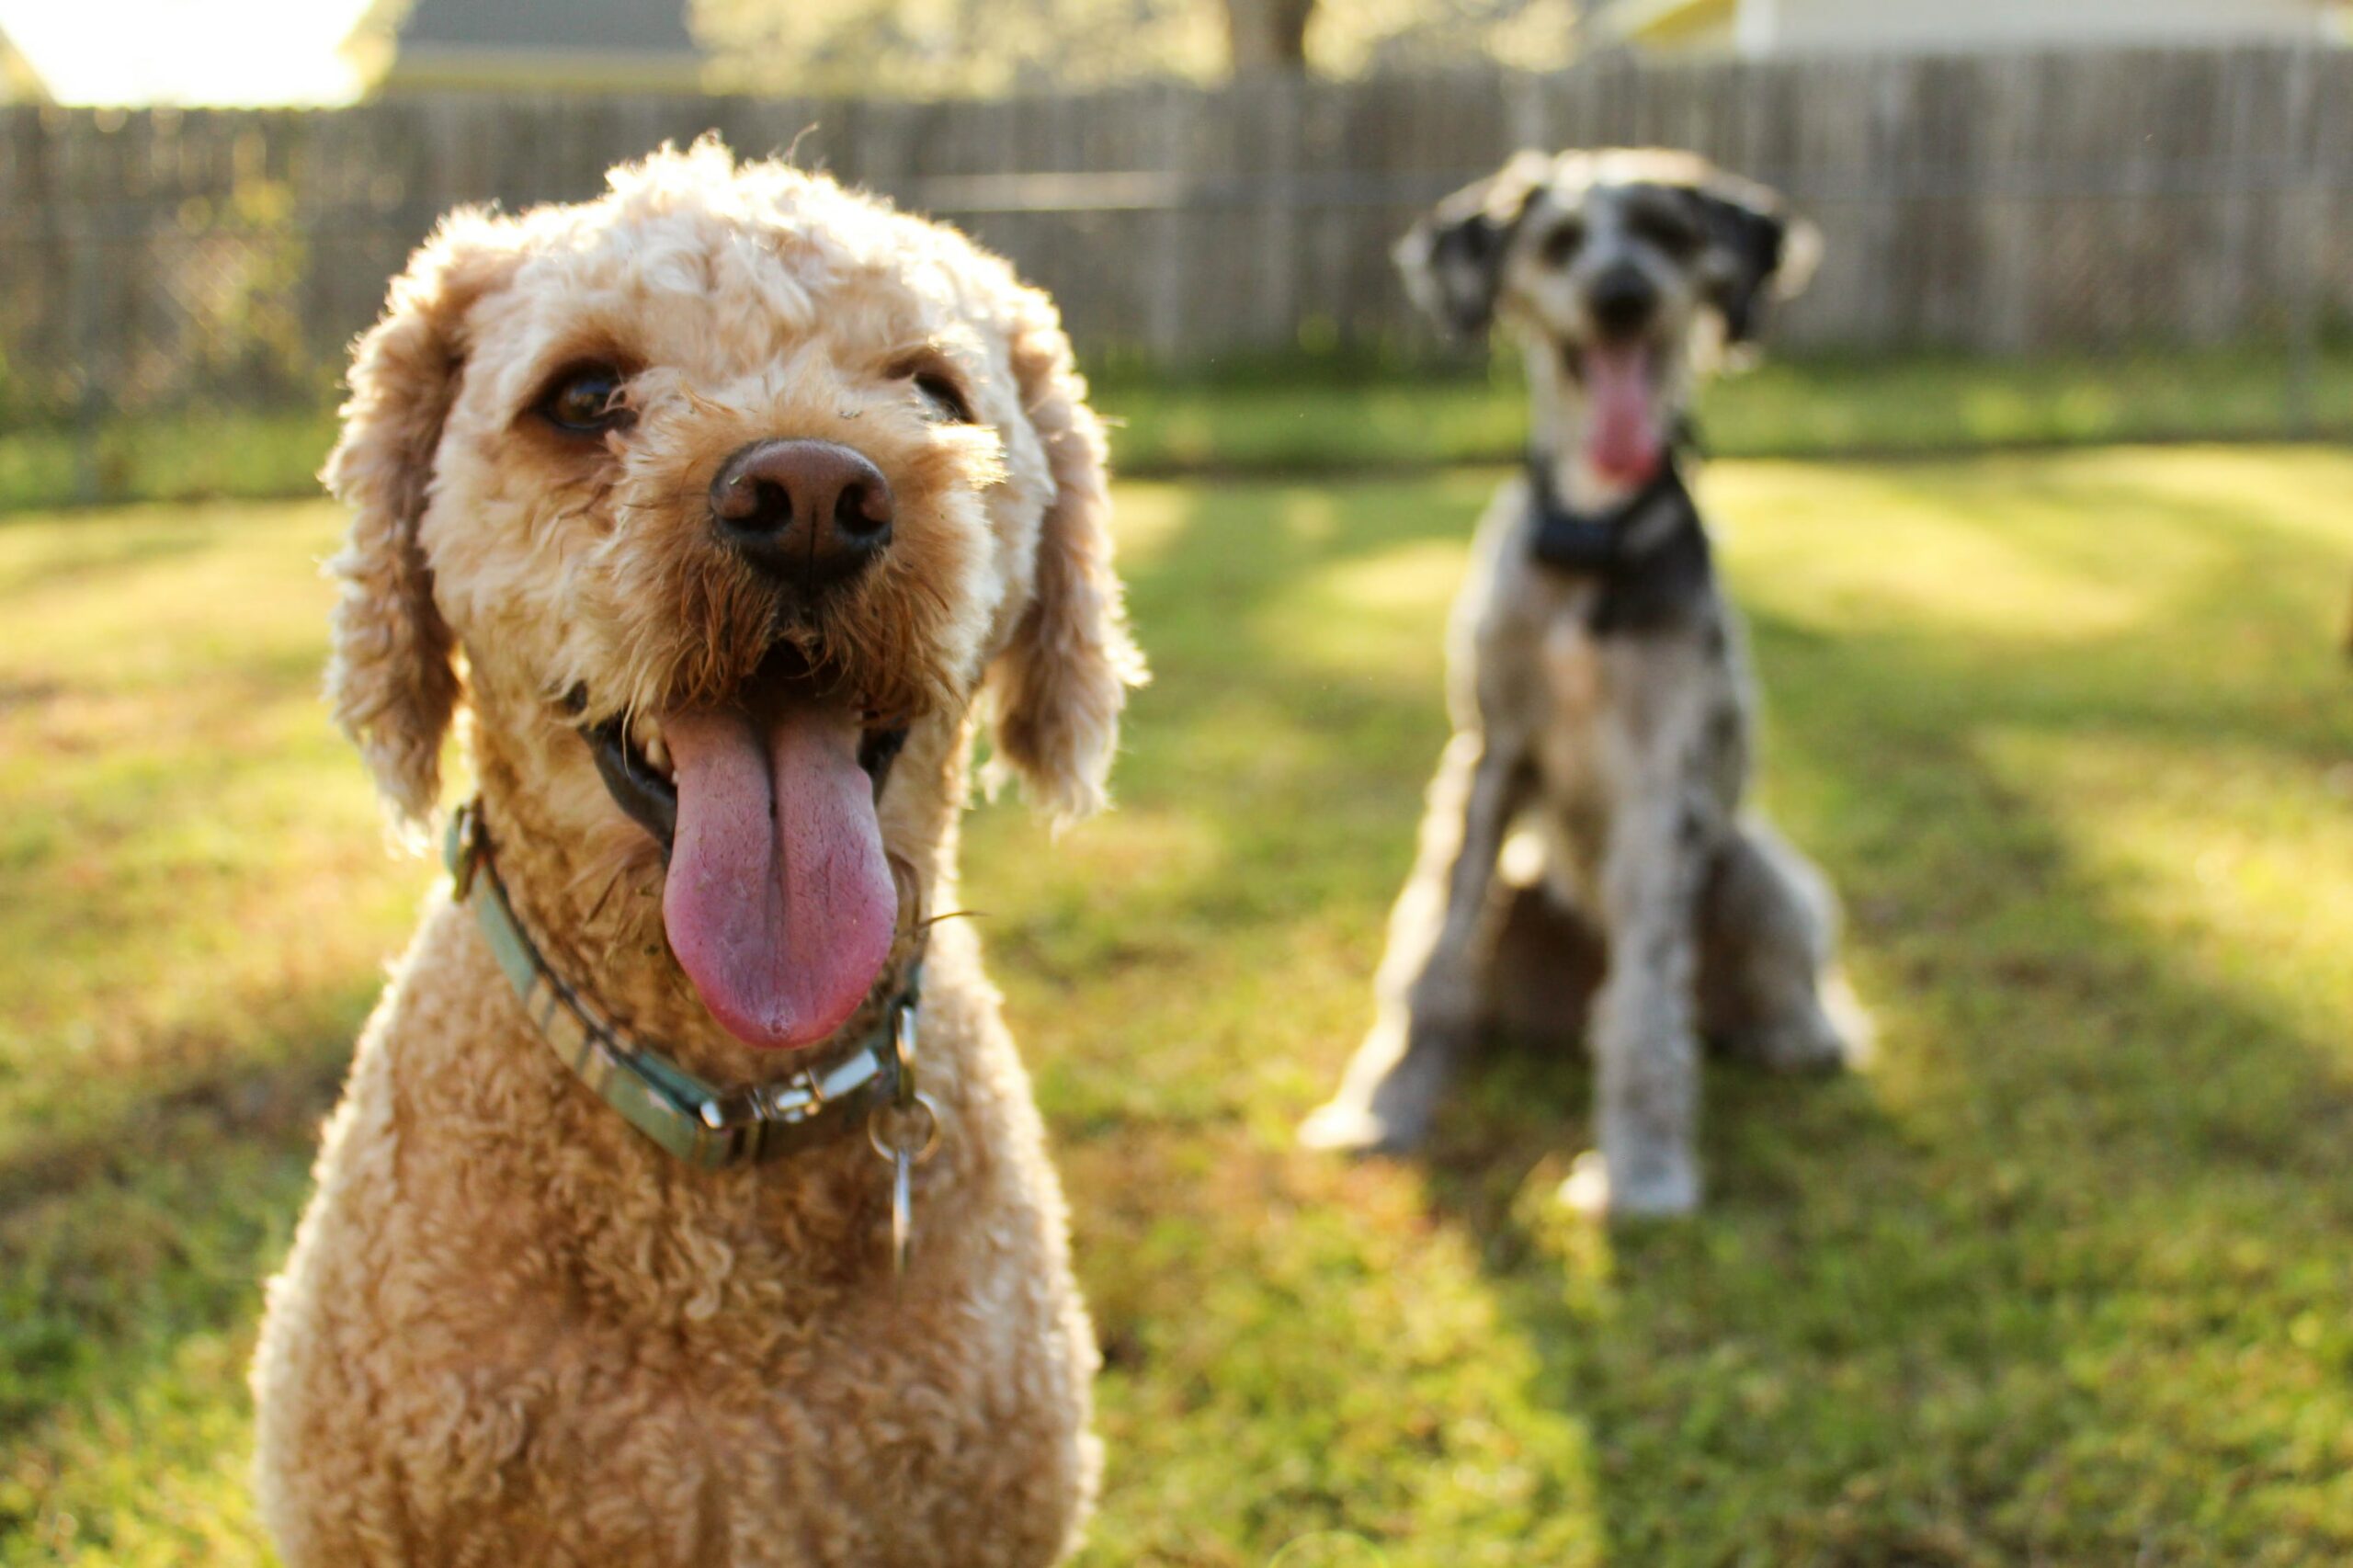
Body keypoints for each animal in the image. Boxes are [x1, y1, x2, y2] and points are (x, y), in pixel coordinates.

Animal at [1299, 146, 1863, 1214]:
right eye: (1558, 241)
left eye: (1668, 232)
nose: (1621, 297)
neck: (1593, 535)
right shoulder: (1486, 757)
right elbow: (1430, 949)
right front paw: (1383, 1105)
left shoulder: (1660, 781)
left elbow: (1643, 997)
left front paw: (1641, 1170)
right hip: (1526, 893)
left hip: (1755, 870)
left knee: (1752, 990)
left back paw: (1799, 1037)